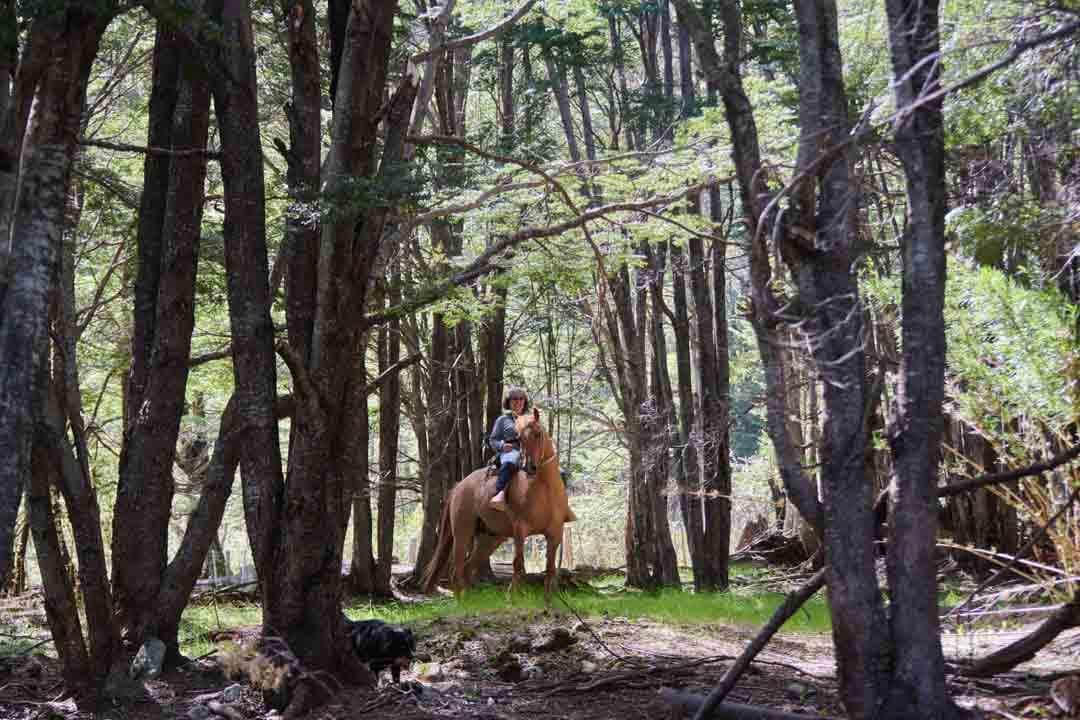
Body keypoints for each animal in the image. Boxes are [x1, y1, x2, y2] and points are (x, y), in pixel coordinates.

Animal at [421, 408, 578, 600]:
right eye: (519, 438)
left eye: (538, 434)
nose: (530, 467)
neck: (544, 488)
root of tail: (458, 487)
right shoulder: (520, 530)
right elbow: (518, 564)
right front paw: (512, 597)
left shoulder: (555, 532)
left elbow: (550, 568)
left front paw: (548, 599)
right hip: (462, 532)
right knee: (456, 568)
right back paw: (461, 601)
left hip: (490, 538)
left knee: (468, 567)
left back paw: (469, 599)